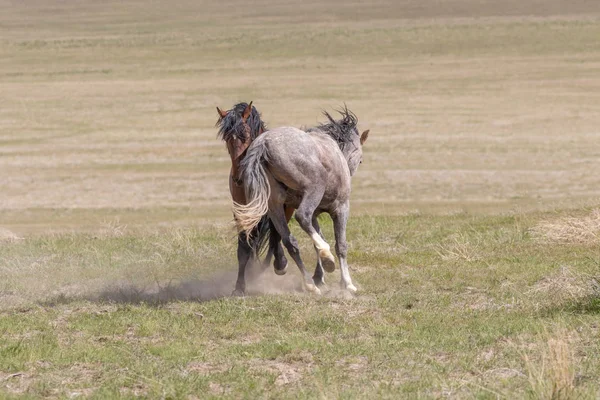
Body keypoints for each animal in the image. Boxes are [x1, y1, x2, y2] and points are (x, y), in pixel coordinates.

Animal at [232, 108, 368, 296]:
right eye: (360, 160)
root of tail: (263, 145)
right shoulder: (341, 209)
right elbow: (341, 245)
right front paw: (347, 283)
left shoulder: (315, 214)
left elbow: (315, 237)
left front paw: (319, 277)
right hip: (314, 188)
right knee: (302, 217)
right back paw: (326, 255)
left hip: (274, 207)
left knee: (290, 241)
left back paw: (310, 283)